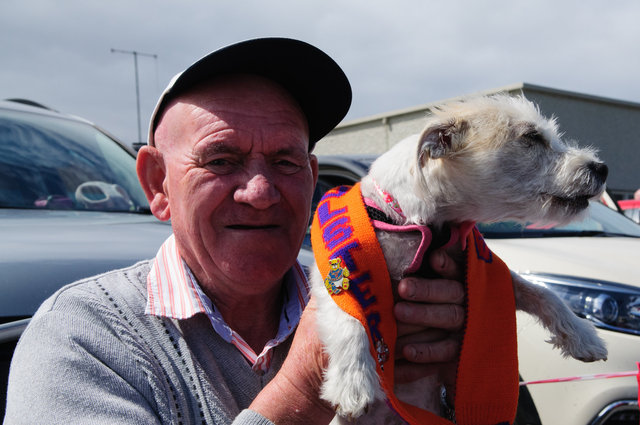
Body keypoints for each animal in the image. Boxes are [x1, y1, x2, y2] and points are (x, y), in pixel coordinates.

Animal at [310, 94, 608, 422]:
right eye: (531, 137)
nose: (601, 167)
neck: (428, 224)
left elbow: (543, 293)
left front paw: (582, 335)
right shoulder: (334, 271)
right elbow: (350, 316)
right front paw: (352, 383)